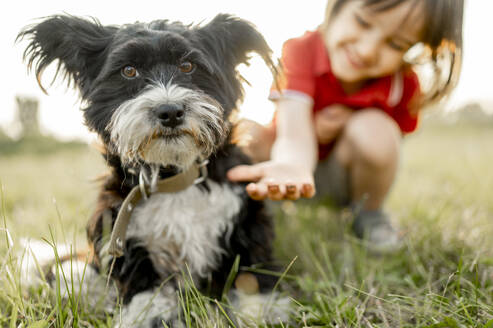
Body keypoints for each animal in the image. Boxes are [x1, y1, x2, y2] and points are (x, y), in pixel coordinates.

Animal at [18, 13, 288, 328]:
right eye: (129, 71)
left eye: (187, 66)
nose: (169, 112)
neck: (173, 177)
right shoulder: (121, 228)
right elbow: (144, 285)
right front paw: (149, 315)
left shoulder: (244, 215)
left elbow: (250, 267)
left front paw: (262, 308)